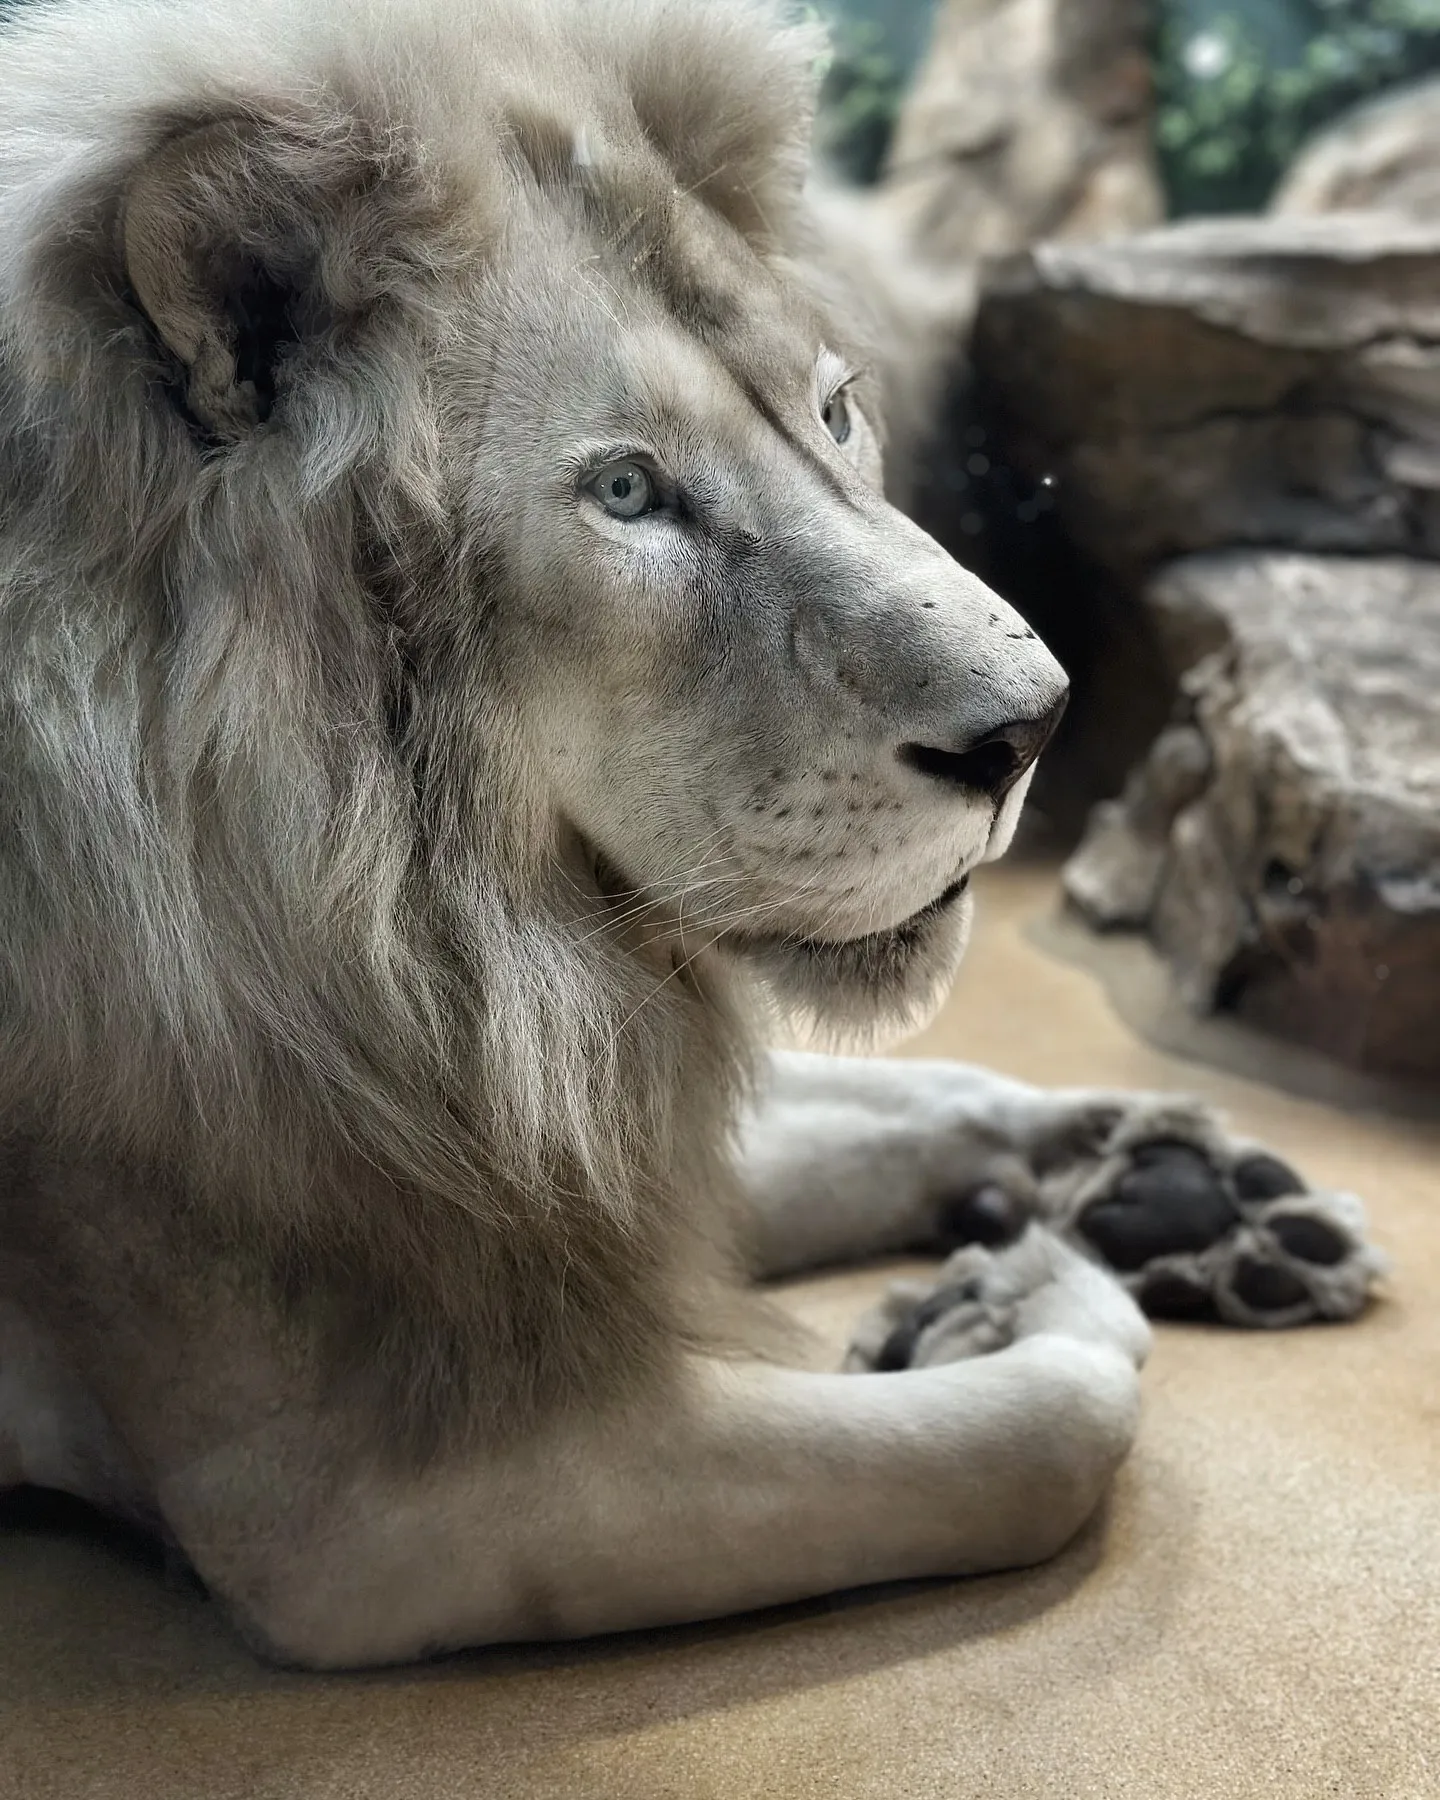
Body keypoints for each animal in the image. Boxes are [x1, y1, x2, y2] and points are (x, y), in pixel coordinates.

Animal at [0, 0, 1379, 1667]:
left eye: (834, 411)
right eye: (628, 492)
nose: (1032, 730)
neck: (450, 951)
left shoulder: (547, 1153)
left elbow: (896, 1102)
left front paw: (1173, 1184)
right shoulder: (378, 1510)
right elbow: (1047, 1426)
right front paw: (1019, 1301)